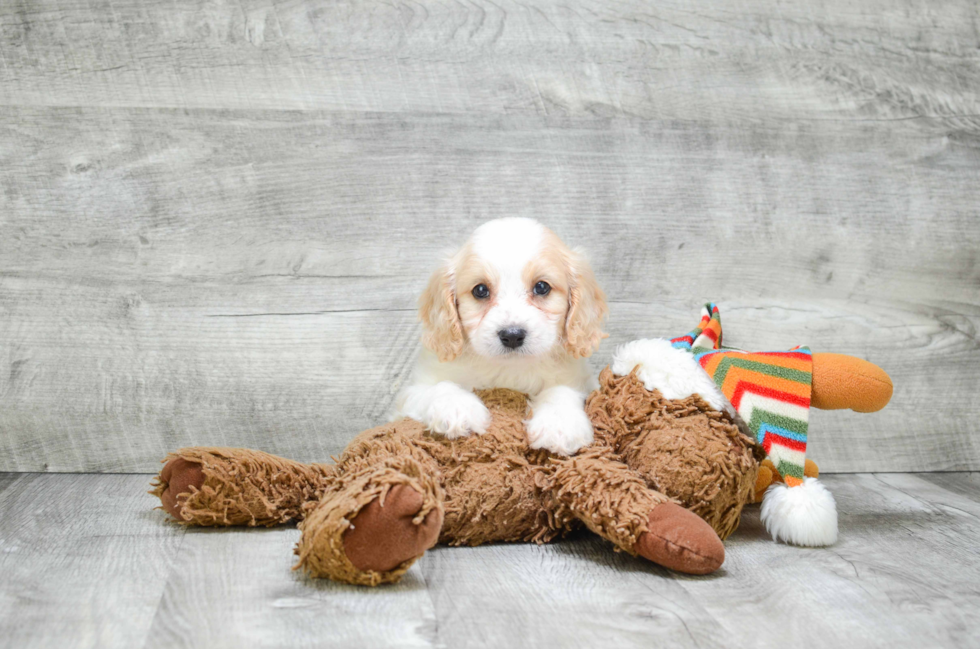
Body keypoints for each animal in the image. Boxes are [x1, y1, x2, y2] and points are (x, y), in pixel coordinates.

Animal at [390, 215, 604, 454]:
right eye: (480, 290)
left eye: (541, 287)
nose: (512, 335)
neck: (507, 369)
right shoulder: (409, 395)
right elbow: (438, 387)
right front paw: (457, 407)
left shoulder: (582, 380)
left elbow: (562, 390)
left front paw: (560, 422)